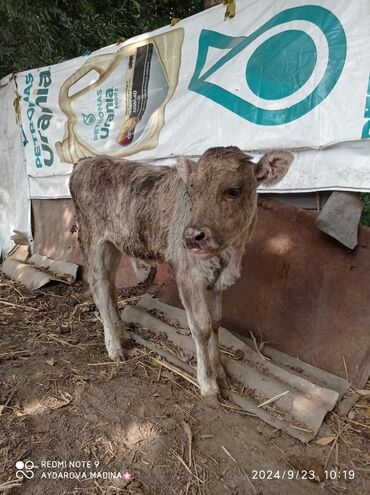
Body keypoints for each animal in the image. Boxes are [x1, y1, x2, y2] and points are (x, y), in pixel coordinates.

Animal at [71, 145, 294, 404]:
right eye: (191, 190)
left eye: (234, 191)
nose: (191, 237)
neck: (228, 255)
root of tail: (87, 161)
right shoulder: (189, 276)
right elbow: (202, 326)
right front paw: (208, 383)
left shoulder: (216, 281)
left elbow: (216, 322)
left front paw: (219, 371)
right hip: (92, 239)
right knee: (99, 289)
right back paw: (114, 347)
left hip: (114, 245)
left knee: (110, 286)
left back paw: (123, 333)